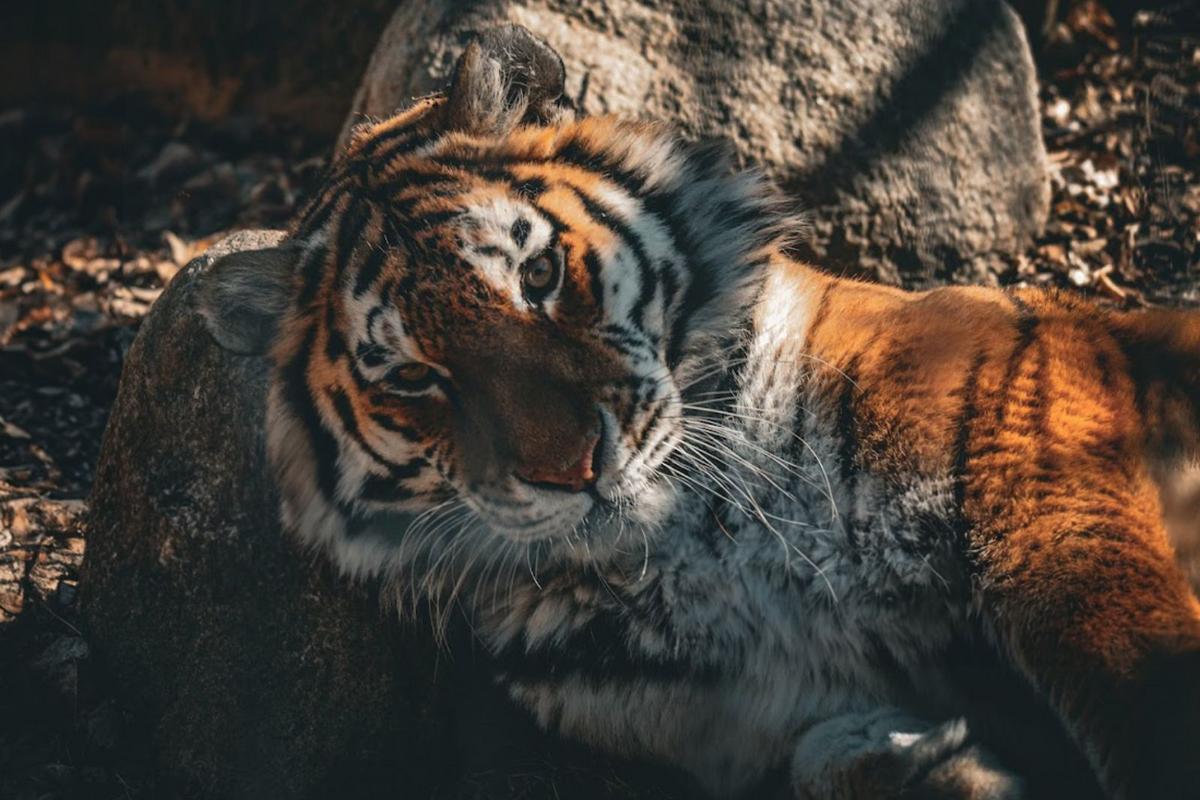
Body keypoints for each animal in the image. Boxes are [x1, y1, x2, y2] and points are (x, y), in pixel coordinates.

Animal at [197, 25, 1200, 800]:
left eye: (538, 275)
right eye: (412, 377)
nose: (575, 468)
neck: (700, 548)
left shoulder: (1041, 482)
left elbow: (1146, 706)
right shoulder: (727, 725)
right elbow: (817, 757)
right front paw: (925, 761)